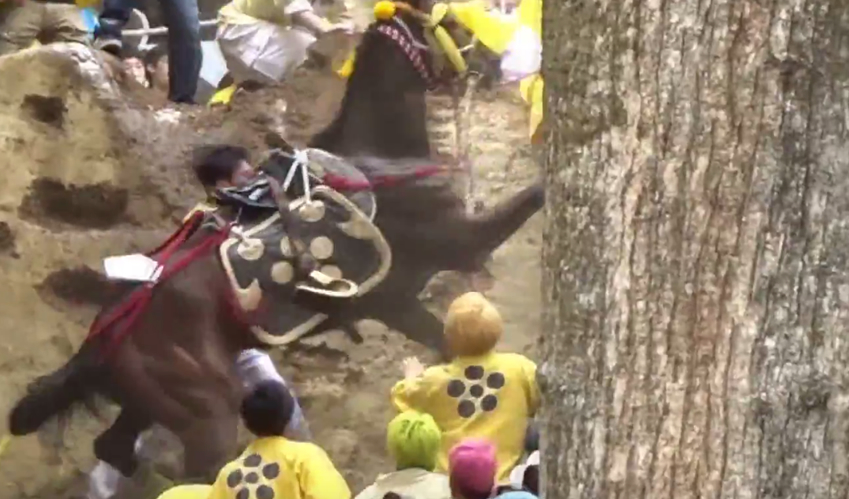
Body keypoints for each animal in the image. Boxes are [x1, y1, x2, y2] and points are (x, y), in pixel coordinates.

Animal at [7, 0, 545, 490]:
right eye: (452, 19)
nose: (499, 62)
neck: (379, 159)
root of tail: (105, 330)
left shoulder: (402, 302)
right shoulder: (453, 248)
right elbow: (532, 198)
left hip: (151, 402)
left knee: (114, 449)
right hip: (207, 407)